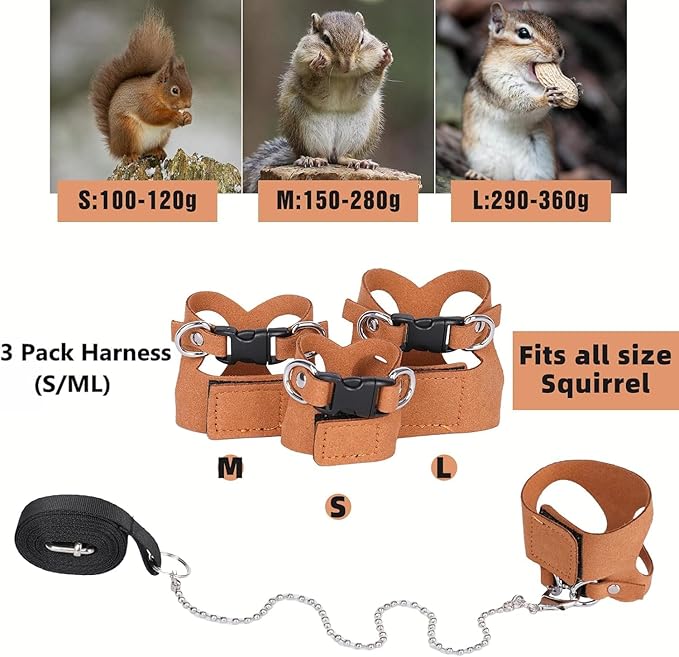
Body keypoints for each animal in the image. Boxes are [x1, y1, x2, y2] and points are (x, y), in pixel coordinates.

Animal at [90, 8, 193, 161]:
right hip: (127, 130)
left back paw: (157, 151)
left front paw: (188, 117)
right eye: (175, 90)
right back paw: (132, 156)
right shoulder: (144, 102)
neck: (155, 93)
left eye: (191, 86)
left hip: (162, 135)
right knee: (128, 151)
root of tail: (114, 146)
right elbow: (153, 116)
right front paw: (175, 115)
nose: (188, 105)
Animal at [243, 11, 393, 193]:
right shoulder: (304, 74)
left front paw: (383, 60)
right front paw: (317, 67)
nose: (347, 65)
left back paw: (357, 161)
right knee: (320, 154)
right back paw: (312, 160)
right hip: (305, 128)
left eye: (362, 39)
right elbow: (314, 87)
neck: (341, 75)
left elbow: (365, 88)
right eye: (325, 39)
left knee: (342, 156)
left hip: (362, 129)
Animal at [462, 2, 572, 181]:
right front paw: (545, 98)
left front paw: (575, 85)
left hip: (540, 163)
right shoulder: (497, 83)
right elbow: (518, 102)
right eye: (523, 33)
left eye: (552, 23)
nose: (560, 51)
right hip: (484, 157)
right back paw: (478, 174)